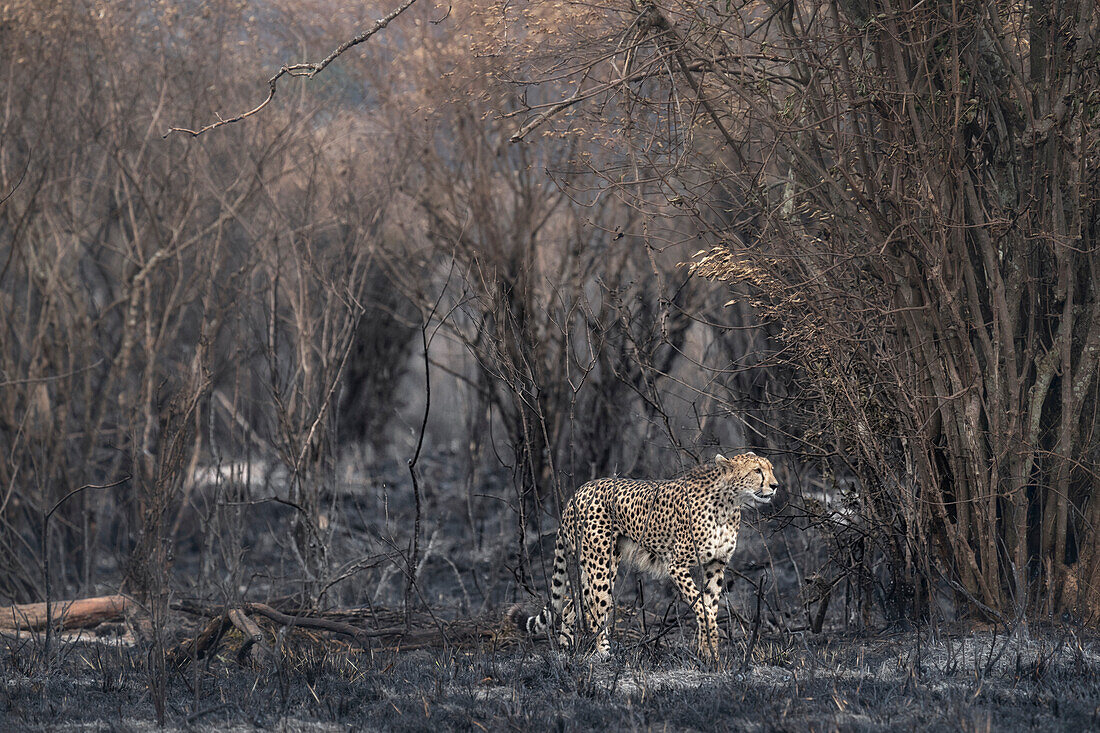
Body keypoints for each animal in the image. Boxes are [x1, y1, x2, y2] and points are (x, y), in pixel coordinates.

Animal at [521, 451, 774, 660]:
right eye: (757, 470)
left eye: (770, 468)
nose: (775, 485)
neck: (729, 504)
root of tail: (580, 490)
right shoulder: (677, 565)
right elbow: (703, 607)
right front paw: (710, 645)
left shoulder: (716, 564)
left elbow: (710, 606)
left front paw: (709, 653)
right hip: (600, 565)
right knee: (596, 609)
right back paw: (603, 652)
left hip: (600, 565)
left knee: (571, 605)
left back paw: (565, 647)